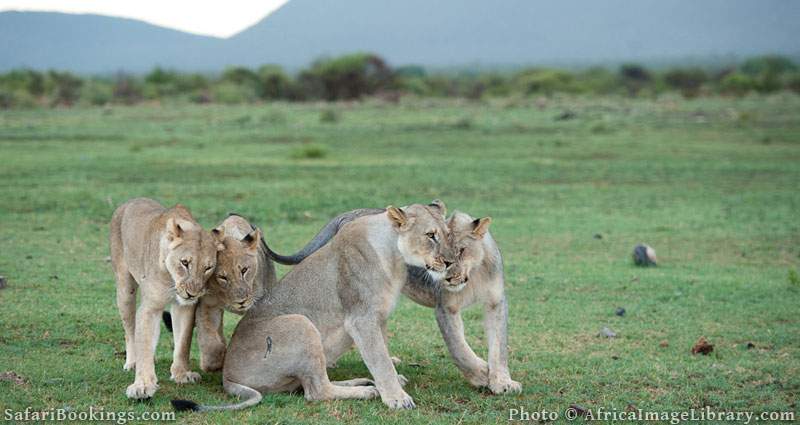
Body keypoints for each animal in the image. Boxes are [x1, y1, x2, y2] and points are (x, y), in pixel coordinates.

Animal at [171, 200, 454, 410]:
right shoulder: (362, 319)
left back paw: (363, 382)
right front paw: (397, 398)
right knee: (317, 390)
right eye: (431, 235)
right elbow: (380, 359)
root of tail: (227, 376)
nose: (451, 261)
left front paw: (394, 382)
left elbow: (382, 352)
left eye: (449, 235)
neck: (394, 256)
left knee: (309, 384)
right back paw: (367, 391)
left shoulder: (379, 316)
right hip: (300, 323)